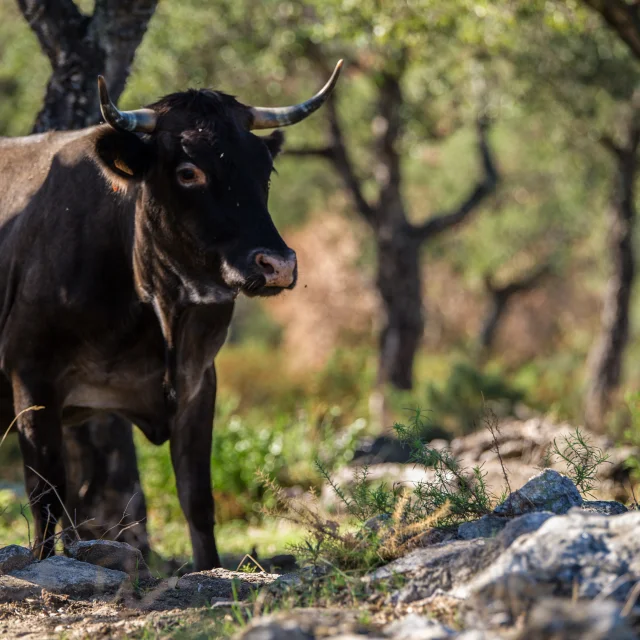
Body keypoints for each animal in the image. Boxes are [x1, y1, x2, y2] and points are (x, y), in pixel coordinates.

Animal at [0, 62, 344, 568]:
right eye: (188, 171)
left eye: (264, 169)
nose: (278, 264)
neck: (159, 313)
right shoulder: (31, 377)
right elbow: (46, 501)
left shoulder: (199, 380)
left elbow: (197, 499)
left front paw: (211, 571)